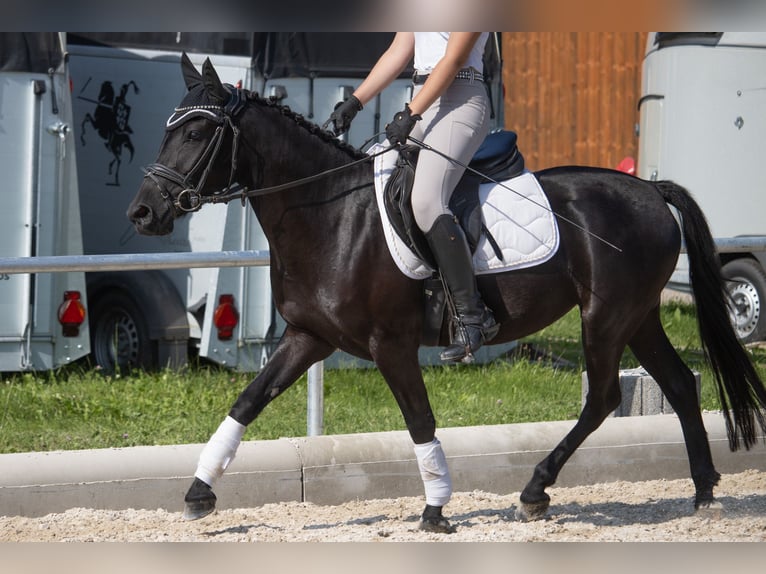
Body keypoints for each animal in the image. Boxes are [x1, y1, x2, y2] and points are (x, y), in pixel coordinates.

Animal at [129, 56, 764, 532]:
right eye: (166, 129)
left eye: (196, 132)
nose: (143, 213)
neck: (331, 216)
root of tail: (650, 190)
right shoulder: (308, 336)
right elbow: (246, 403)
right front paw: (198, 492)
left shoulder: (390, 345)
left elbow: (420, 420)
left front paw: (435, 509)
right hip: (639, 315)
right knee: (678, 383)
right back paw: (703, 491)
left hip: (605, 317)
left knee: (604, 396)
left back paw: (536, 489)